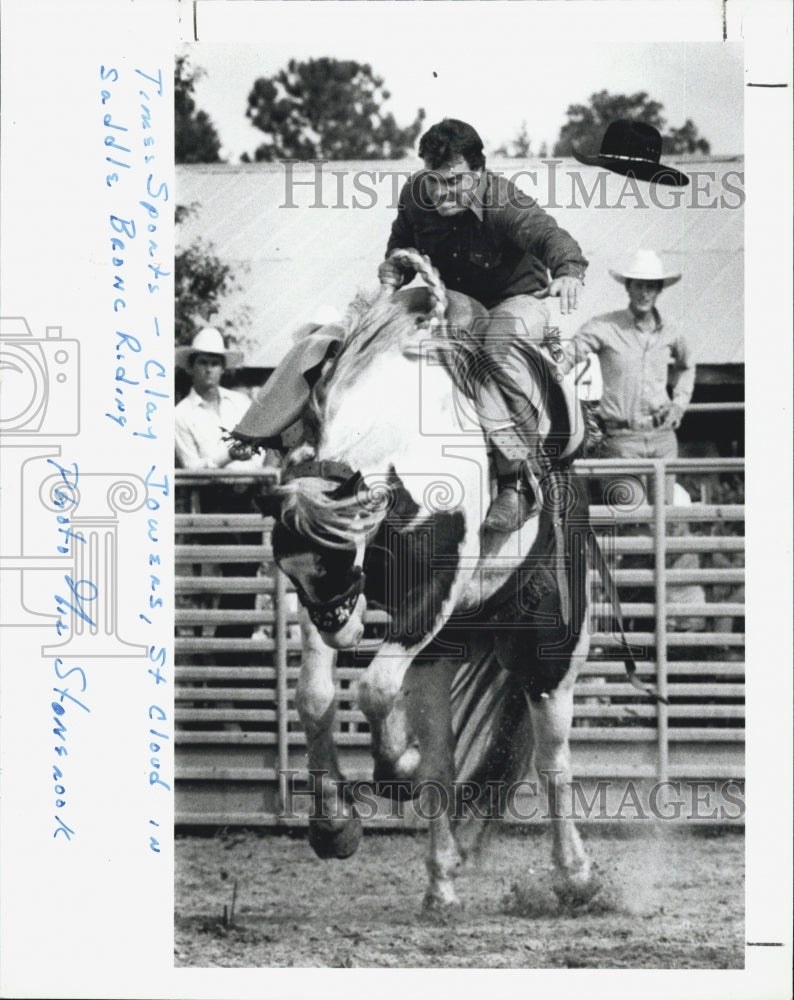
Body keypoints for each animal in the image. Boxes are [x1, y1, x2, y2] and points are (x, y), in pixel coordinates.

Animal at [232, 248, 628, 908]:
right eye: (291, 567)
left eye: (337, 556)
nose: (340, 625)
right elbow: (318, 695)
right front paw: (334, 825)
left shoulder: (436, 591)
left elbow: (371, 689)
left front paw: (395, 770)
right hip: (446, 653)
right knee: (445, 759)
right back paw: (441, 882)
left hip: (550, 651)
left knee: (552, 757)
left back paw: (577, 877)